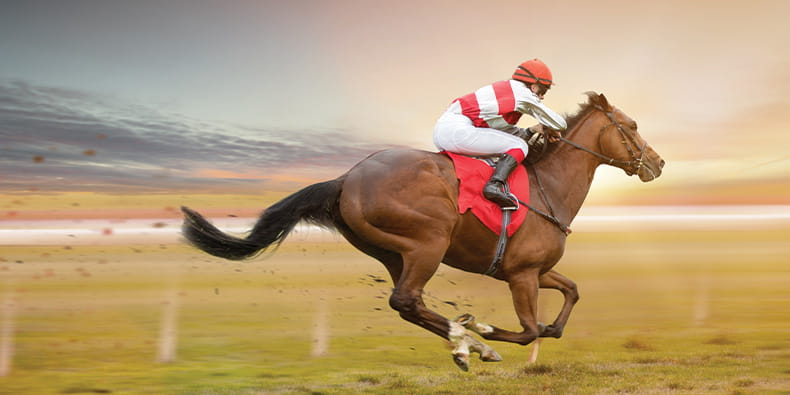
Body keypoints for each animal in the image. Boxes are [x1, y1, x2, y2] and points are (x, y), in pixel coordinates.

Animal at [181, 92, 668, 372]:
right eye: (632, 126)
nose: (658, 162)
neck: (549, 186)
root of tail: (347, 178)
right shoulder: (522, 275)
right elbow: (529, 330)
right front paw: (486, 332)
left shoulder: (533, 270)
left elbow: (569, 297)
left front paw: (506, 334)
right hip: (428, 243)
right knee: (406, 300)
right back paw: (470, 342)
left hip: (392, 253)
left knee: (408, 304)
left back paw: (464, 343)